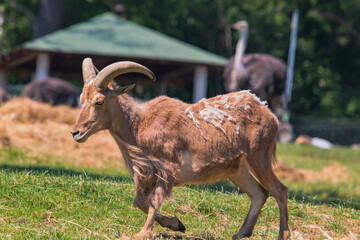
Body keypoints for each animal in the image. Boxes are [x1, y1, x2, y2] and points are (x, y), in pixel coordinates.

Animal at [71, 58, 290, 240]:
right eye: (82, 99)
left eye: (99, 101)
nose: (76, 132)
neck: (139, 125)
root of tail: (269, 113)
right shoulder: (147, 176)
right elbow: (140, 202)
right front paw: (177, 224)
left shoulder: (168, 169)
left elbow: (153, 201)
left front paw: (144, 233)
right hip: (238, 170)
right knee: (259, 193)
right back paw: (242, 233)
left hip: (258, 157)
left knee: (280, 190)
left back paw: (283, 234)